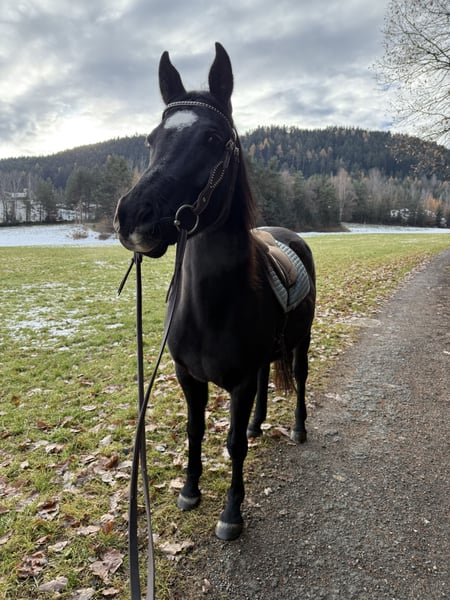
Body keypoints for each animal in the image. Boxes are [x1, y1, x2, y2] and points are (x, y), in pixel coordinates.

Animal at [114, 43, 316, 541]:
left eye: (210, 138)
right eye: (152, 139)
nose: (132, 216)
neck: (210, 307)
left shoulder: (238, 382)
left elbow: (232, 443)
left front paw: (231, 513)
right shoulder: (188, 376)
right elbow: (195, 430)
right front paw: (190, 491)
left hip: (302, 341)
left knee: (299, 378)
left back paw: (297, 428)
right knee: (266, 382)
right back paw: (259, 425)